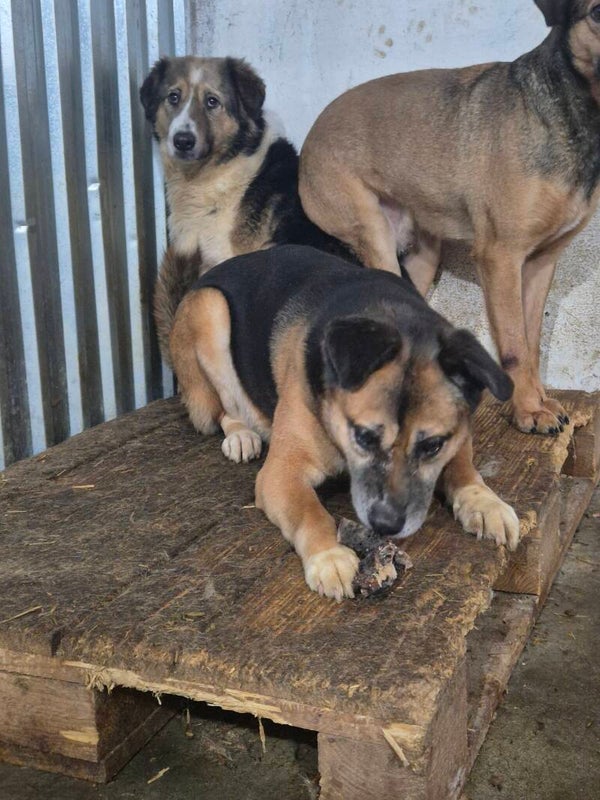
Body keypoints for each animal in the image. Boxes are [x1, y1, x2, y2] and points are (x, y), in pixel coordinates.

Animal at [170, 244, 520, 600]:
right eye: (364, 436)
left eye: (433, 445)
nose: (386, 524)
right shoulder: (279, 474)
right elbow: (309, 511)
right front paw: (330, 555)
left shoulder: (457, 436)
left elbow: (463, 467)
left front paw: (484, 501)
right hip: (209, 310)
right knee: (223, 408)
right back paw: (241, 434)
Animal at [299, 0, 600, 436]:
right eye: (596, 13)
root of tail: (309, 137)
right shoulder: (501, 258)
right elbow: (514, 346)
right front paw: (527, 410)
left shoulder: (541, 264)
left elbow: (531, 342)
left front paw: (539, 401)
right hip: (373, 235)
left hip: (423, 259)